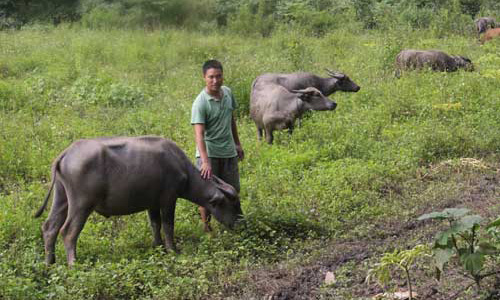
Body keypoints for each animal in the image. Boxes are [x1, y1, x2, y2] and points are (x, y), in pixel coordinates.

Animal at [34, 136, 242, 264]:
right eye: (233, 204)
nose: (242, 223)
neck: (180, 167)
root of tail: (67, 153)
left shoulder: (152, 203)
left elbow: (155, 224)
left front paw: (158, 247)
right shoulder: (168, 199)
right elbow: (168, 225)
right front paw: (172, 250)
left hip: (61, 198)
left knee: (50, 227)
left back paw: (50, 263)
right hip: (81, 204)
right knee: (68, 232)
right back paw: (73, 263)